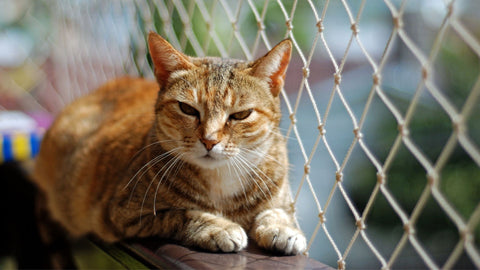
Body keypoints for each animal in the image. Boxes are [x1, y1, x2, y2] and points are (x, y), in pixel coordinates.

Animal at [31, 31, 306, 255]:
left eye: (240, 115)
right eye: (188, 109)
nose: (209, 140)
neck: (221, 180)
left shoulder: (280, 196)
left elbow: (277, 211)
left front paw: (283, 229)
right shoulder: (124, 212)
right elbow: (182, 214)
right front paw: (218, 227)